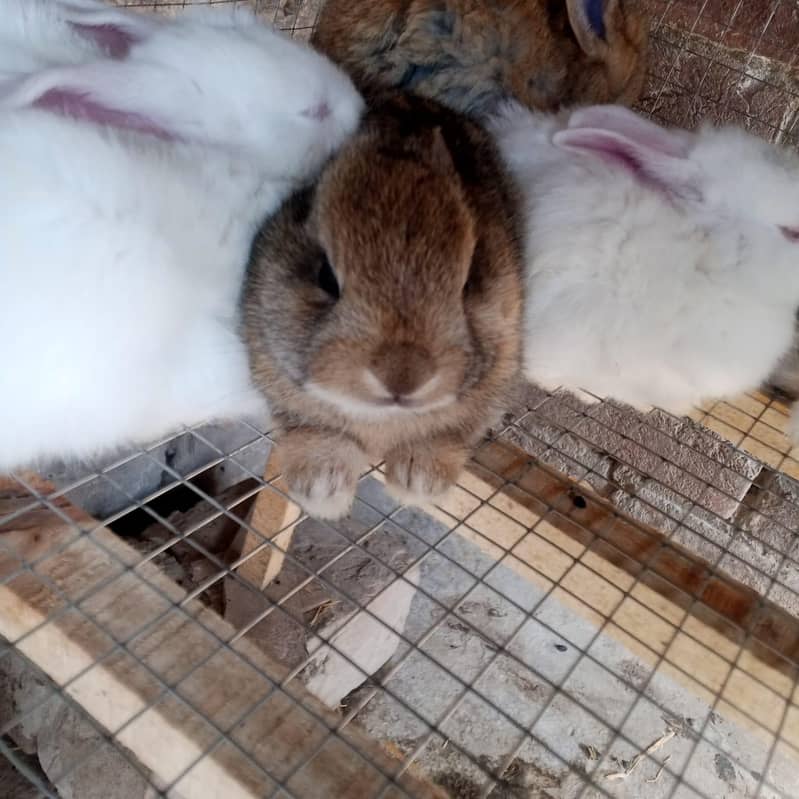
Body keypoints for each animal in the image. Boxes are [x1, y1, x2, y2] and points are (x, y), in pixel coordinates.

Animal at [243, 90, 524, 520]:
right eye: (325, 276)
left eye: (468, 281)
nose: (403, 376)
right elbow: (314, 434)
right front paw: (323, 491)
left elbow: (446, 436)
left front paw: (418, 483)